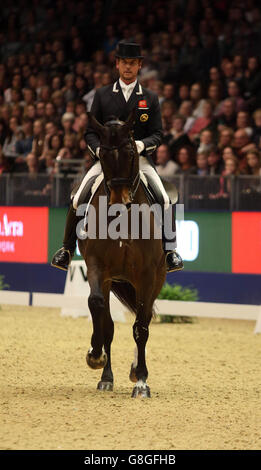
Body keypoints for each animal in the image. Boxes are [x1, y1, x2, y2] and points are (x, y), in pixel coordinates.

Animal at [76, 109, 165, 396]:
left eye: (129, 152)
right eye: (103, 154)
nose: (118, 201)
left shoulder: (147, 275)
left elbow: (141, 328)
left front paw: (142, 381)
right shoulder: (97, 267)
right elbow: (98, 310)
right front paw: (95, 356)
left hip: (155, 280)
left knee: (143, 319)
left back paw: (136, 371)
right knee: (110, 323)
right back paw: (107, 377)